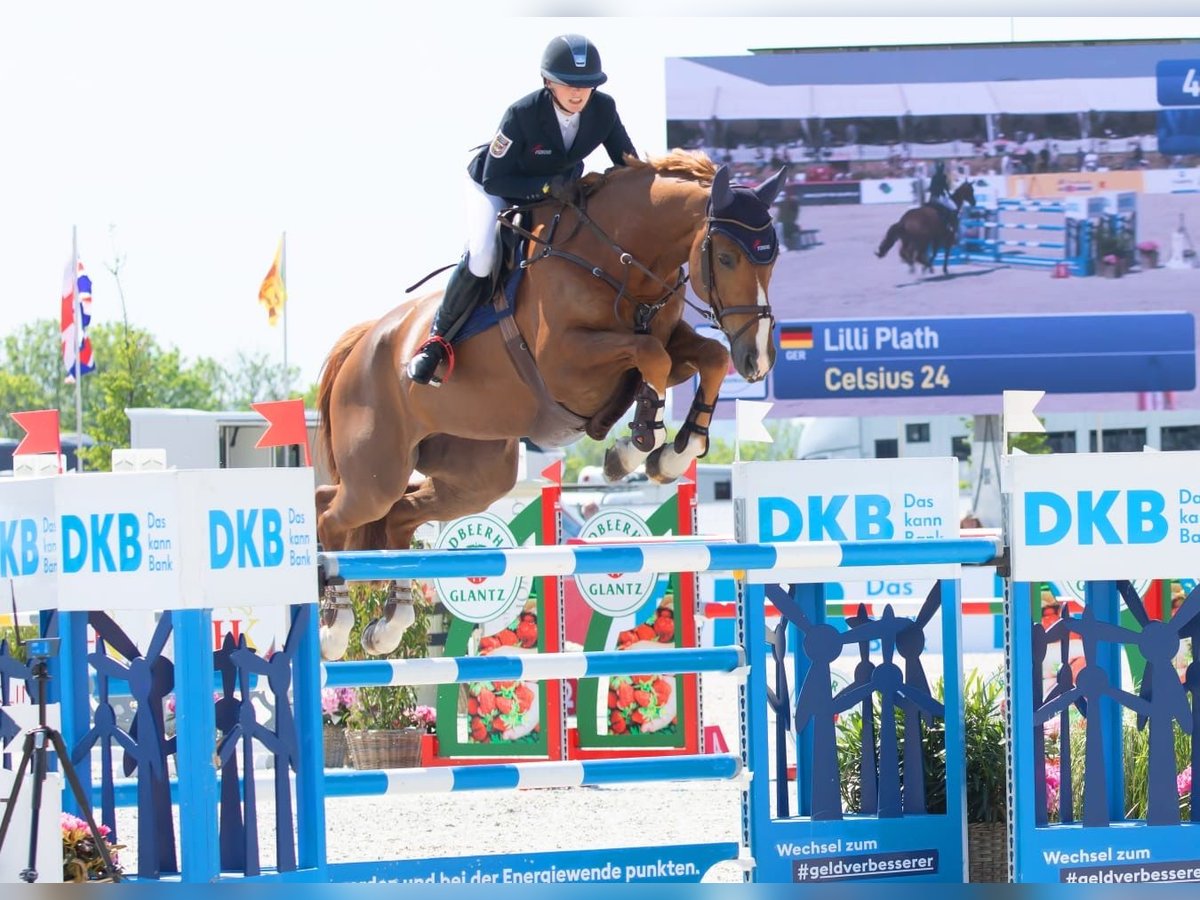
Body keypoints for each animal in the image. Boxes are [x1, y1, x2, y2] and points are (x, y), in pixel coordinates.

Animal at [314, 153, 792, 662]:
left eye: (773, 260)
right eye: (725, 258)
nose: (758, 360)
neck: (620, 259)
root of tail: (363, 341)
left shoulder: (666, 344)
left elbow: (706, 357)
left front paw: (673, 453)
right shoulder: (569, 366)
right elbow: (651, 356)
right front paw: (636, 446)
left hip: (476, 477)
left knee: (398, 513)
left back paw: (390, 624)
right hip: (377, 474)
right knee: (333, 513)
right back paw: (335, 627)